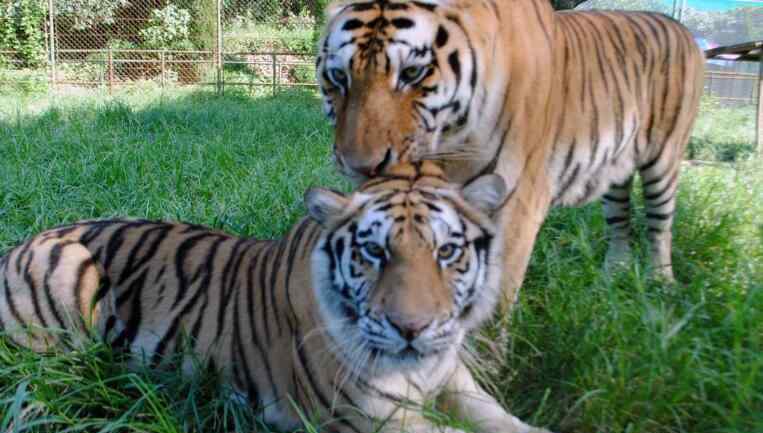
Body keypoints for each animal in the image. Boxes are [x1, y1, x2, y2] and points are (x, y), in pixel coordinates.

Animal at [0, 162, 548, 432]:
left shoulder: (457, 383)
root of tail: (13, 247)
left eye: (447, 251)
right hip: (74, 275)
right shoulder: (375, 417)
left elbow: (504, 422)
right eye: (374, 251)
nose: (411, 328)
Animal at [316, 0, 704, 310]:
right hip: (616, 173)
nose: (361, 167)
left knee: (660, 225)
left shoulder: (517, 205)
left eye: (412, 72)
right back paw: (615, 276)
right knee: (620, 221)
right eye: (337, 76)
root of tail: (681, 28)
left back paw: (661, 283)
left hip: (664, 161)